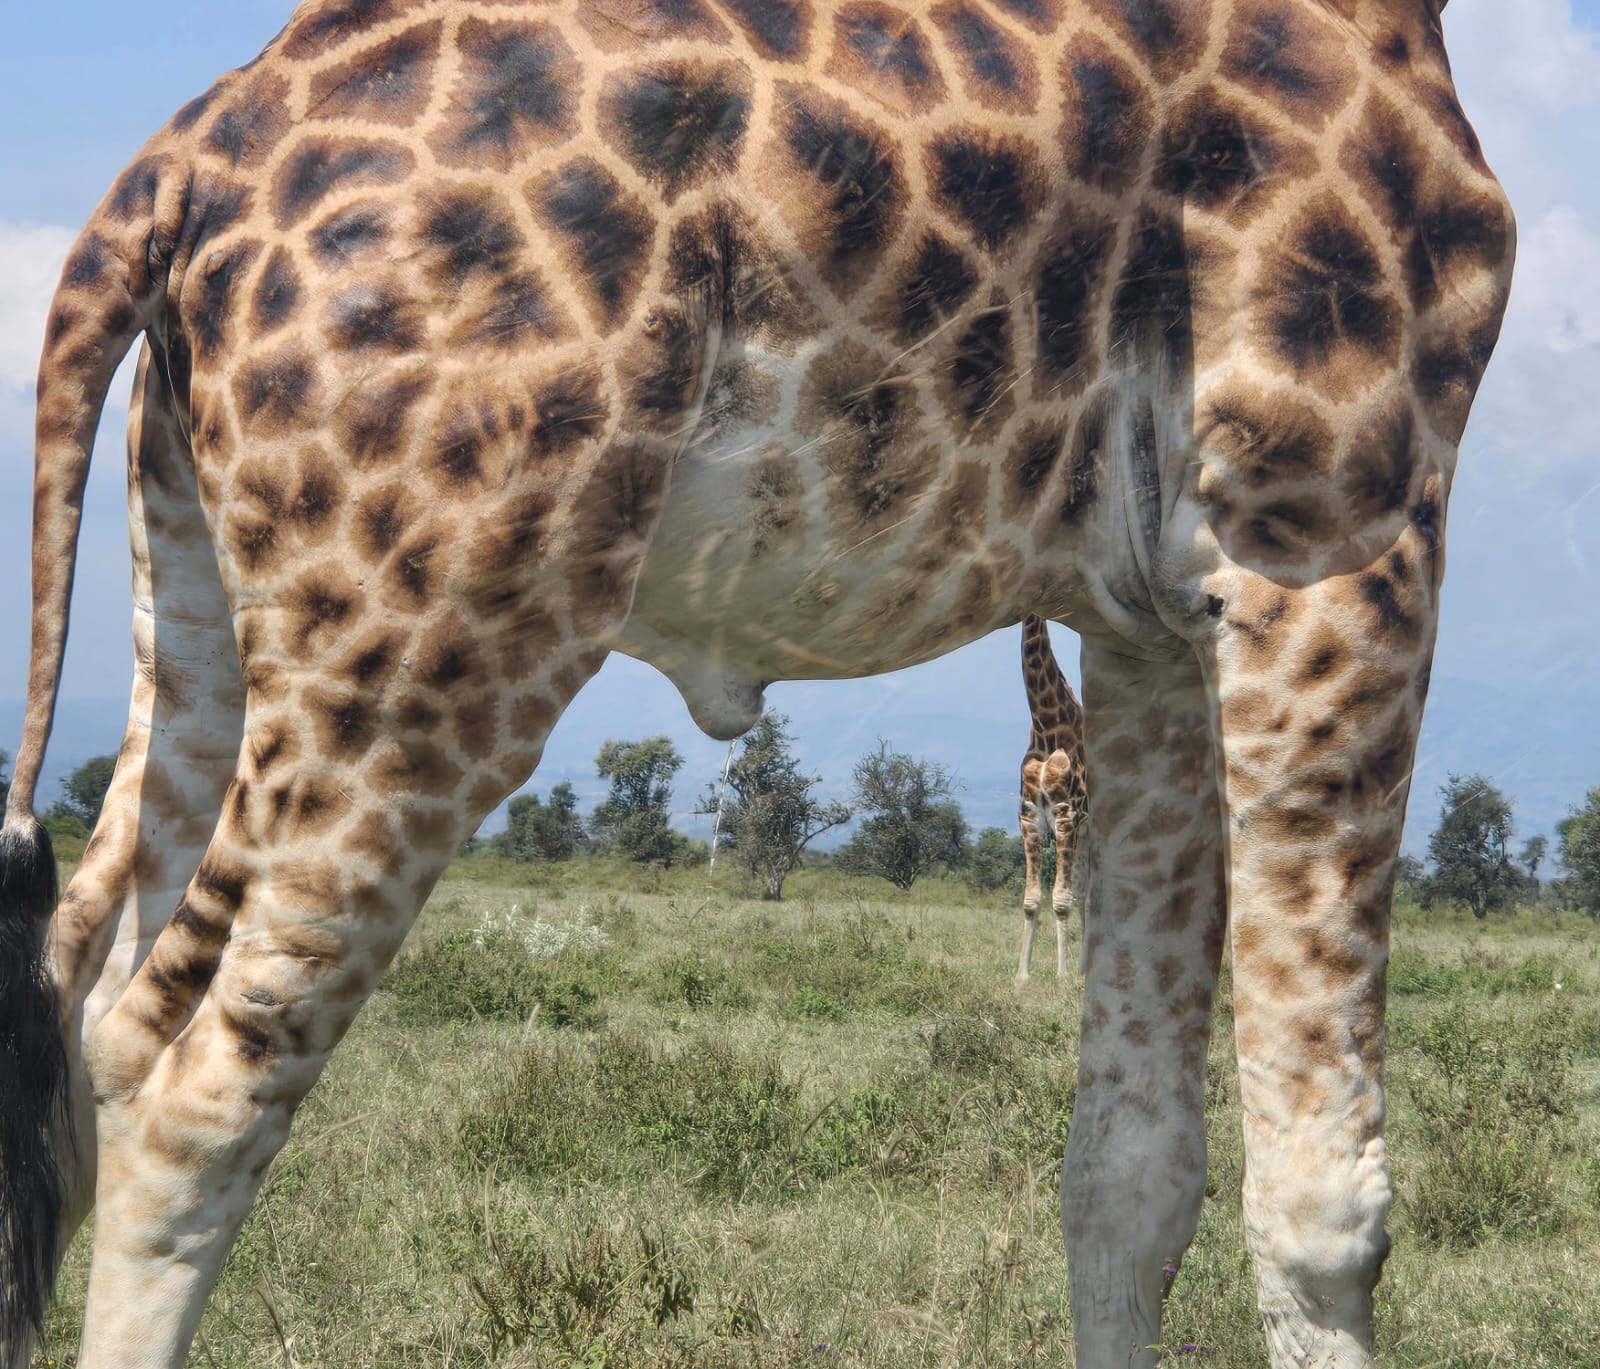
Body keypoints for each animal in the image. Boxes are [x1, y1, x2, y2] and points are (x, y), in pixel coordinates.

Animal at [0, 1, 1513, 1365]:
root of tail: (174, 174)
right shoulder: (1331, 522)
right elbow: (1327, 1211)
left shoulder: (1148, 621)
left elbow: (1128, 1172)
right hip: (432, 637)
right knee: (191, 1081)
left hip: (195, 594)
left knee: (84, 1005)